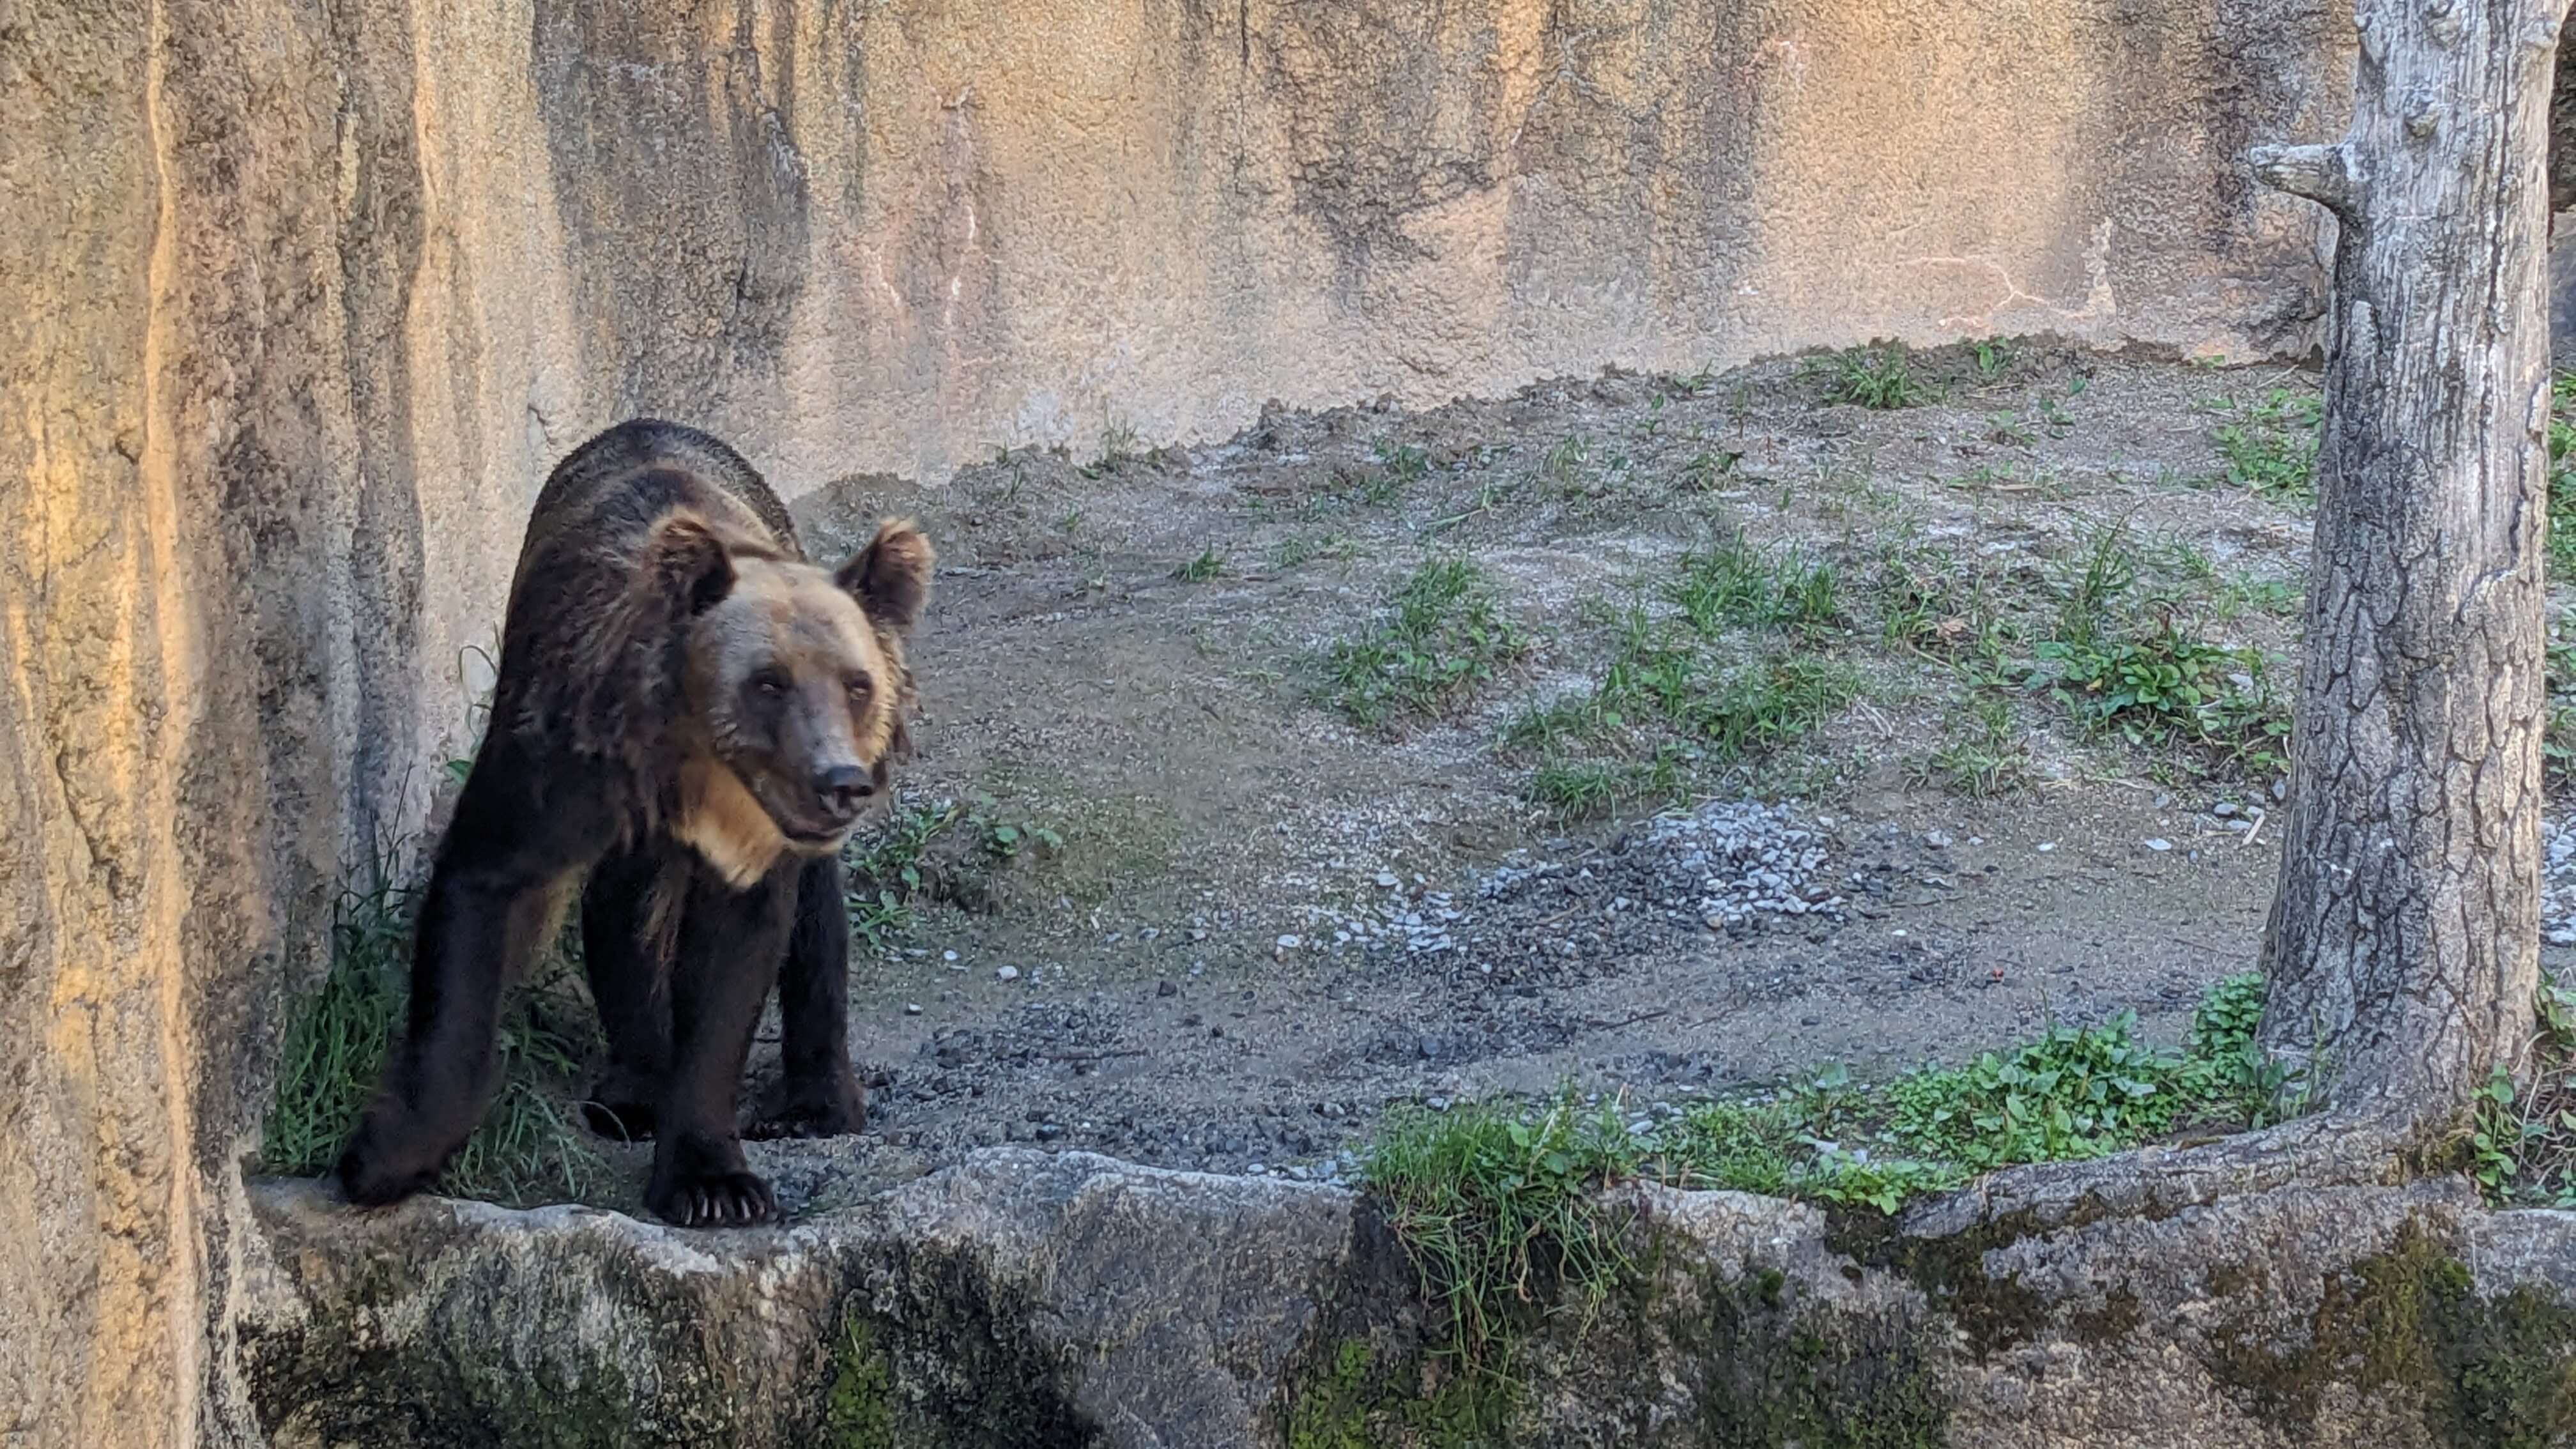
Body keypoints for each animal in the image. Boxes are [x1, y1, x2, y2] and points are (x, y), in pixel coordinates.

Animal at [333, 417, 933, 1228]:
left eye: (858, 684)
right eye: (768, 682)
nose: (840, 783)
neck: (694, 770)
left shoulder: (754, 844)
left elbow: (736, 964)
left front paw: (713, 1181)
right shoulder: (556, 760)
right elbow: (480, 897)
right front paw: (382, 1159)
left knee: (813, 920)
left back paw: (814, 1102)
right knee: (623, 909)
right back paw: (632, 1090)